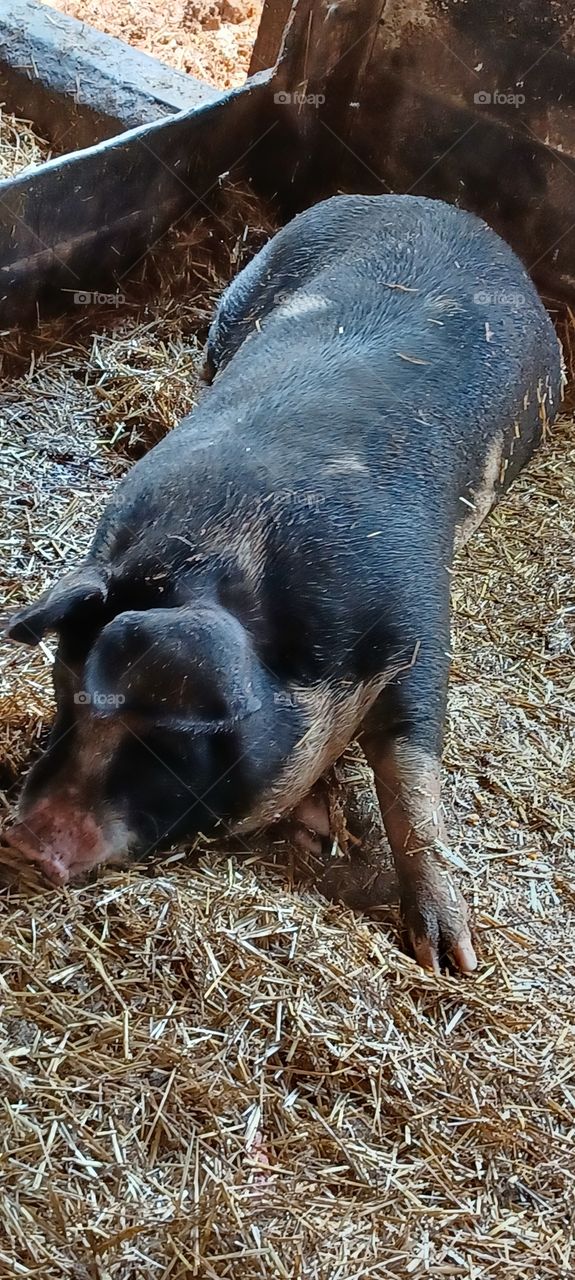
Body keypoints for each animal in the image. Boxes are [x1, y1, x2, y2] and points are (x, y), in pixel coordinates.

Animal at [4, 194, 563, 974]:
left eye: (177, 740)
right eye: (68, 692)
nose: (25, 841)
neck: (232, 547)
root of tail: (428, 203)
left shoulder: (417, 617)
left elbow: (411, 774)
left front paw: (449, 957)